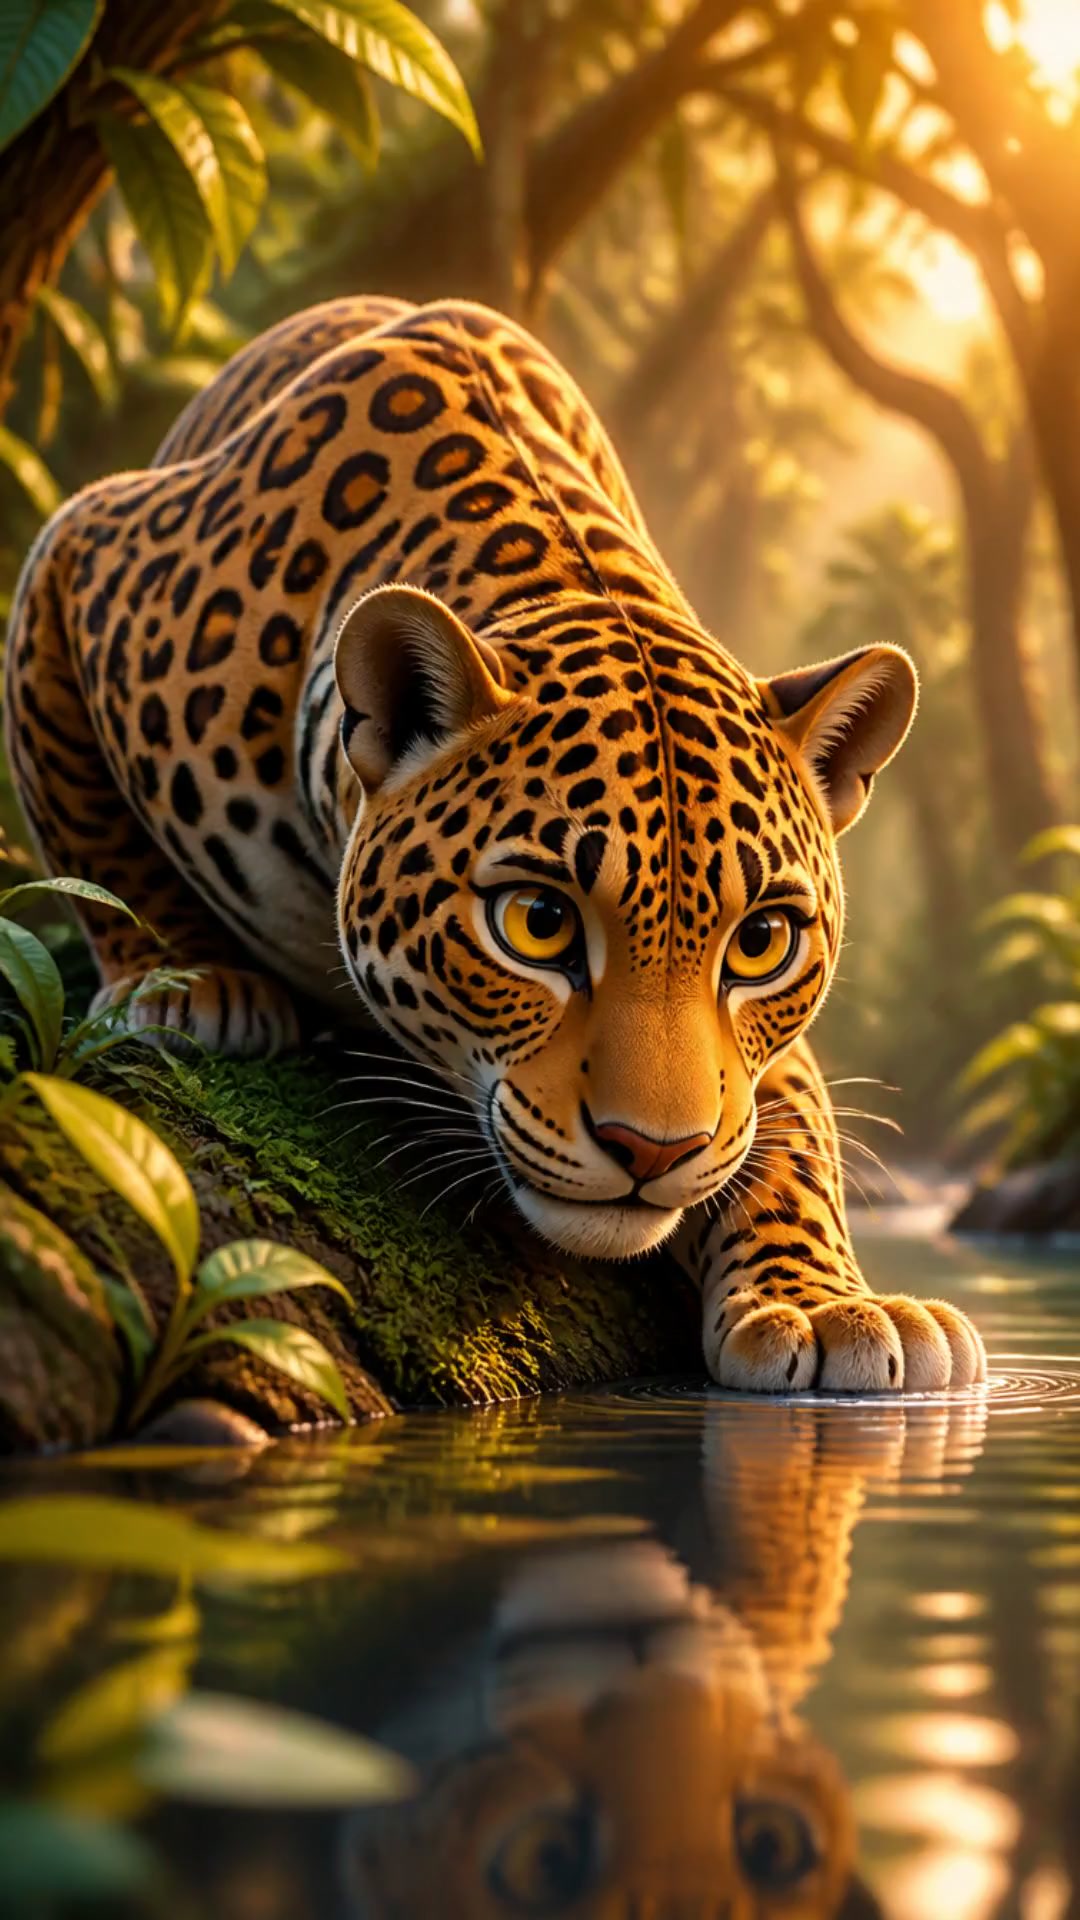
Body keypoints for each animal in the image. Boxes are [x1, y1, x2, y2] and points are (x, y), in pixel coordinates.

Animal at [3, 293, 987, 1396]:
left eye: (763, 942)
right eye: (539, 922)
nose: (653, 1150)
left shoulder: (749, 1073)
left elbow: (790, 1135)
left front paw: (829, 1307)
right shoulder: (79, 551)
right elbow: (85, 818)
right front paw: (189, 980)